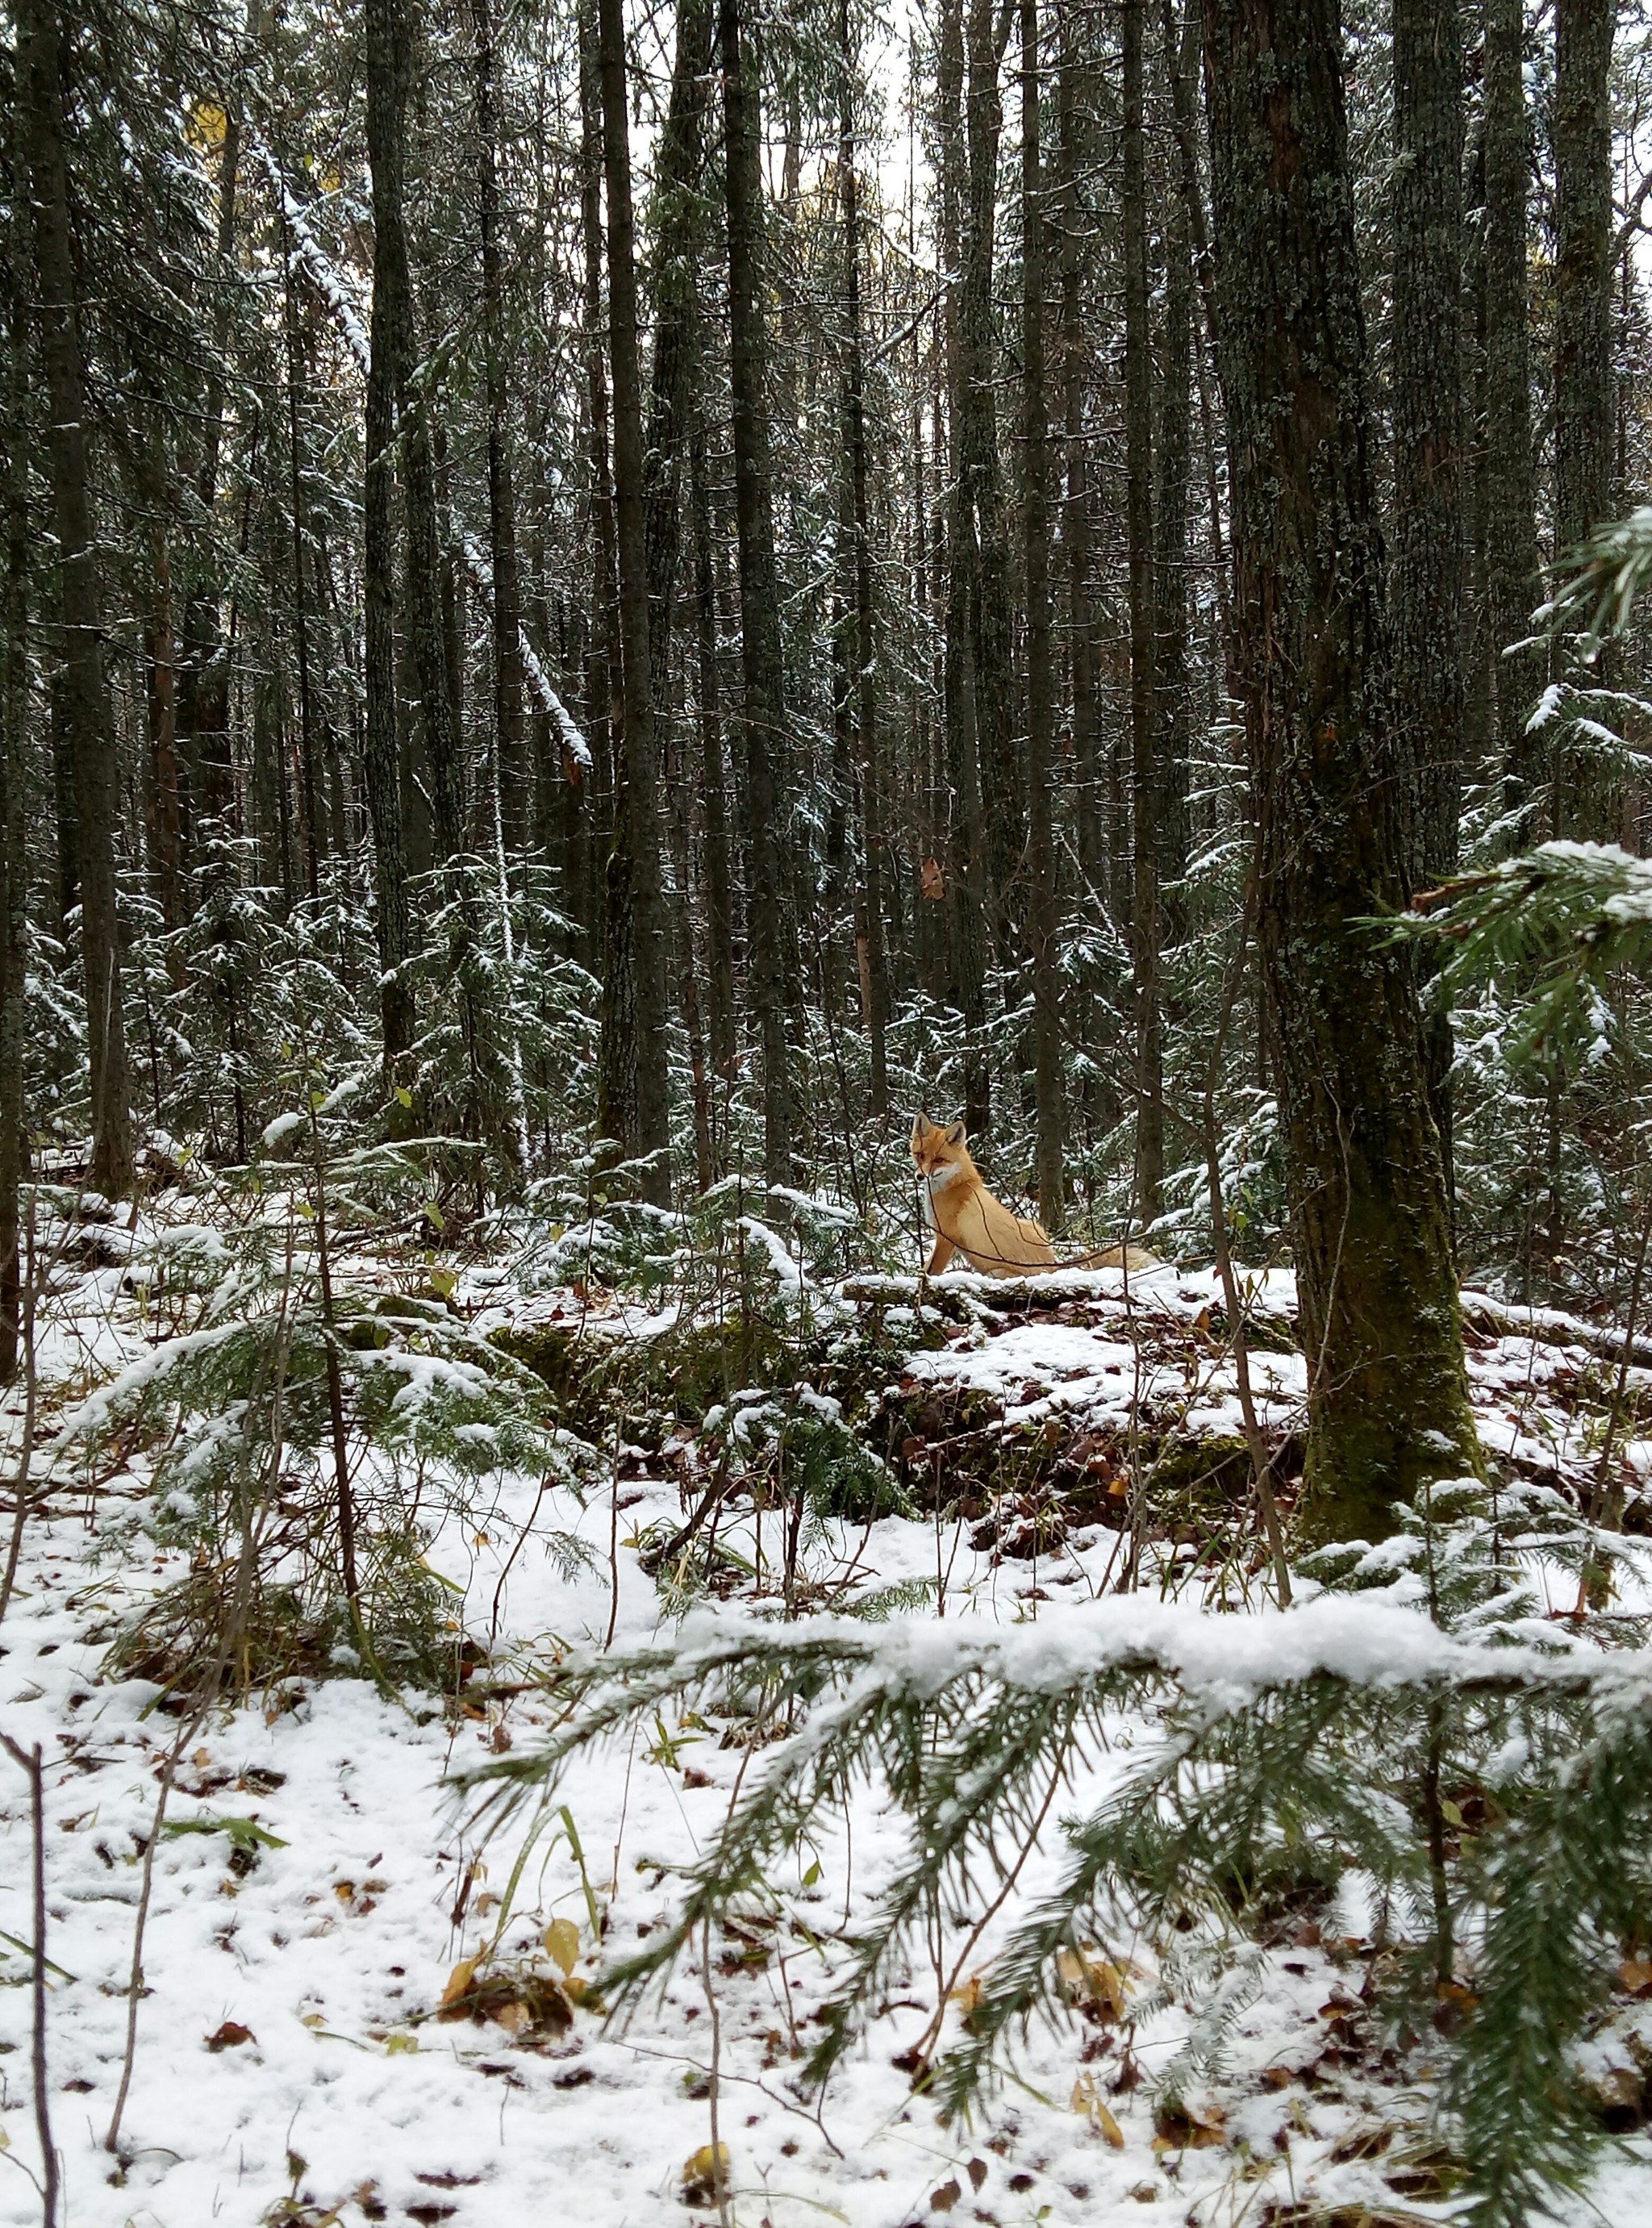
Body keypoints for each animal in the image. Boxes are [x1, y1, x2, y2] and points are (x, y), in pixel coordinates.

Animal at [909, 1109, 1150, 1274]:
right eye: (920, 1155)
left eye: (939, 1160)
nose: (920, 1177)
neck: (957, 1184)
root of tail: (1052, 1268)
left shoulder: (946, 1239)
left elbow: (929, 1272)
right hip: (1036, 1226)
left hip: (996, 1271)